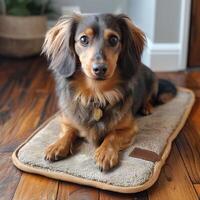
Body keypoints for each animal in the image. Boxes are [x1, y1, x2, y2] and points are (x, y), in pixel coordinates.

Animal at [42, 13, 177, 170]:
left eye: (114, 39)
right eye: (83, 39)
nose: (100, 68)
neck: (97, 93)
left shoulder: (129, 128)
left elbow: (112, 135)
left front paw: (105, 152)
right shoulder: (67, 120)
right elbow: (68, 132)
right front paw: (57, 145)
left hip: (152, 81)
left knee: (149, 98)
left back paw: (146, 107)